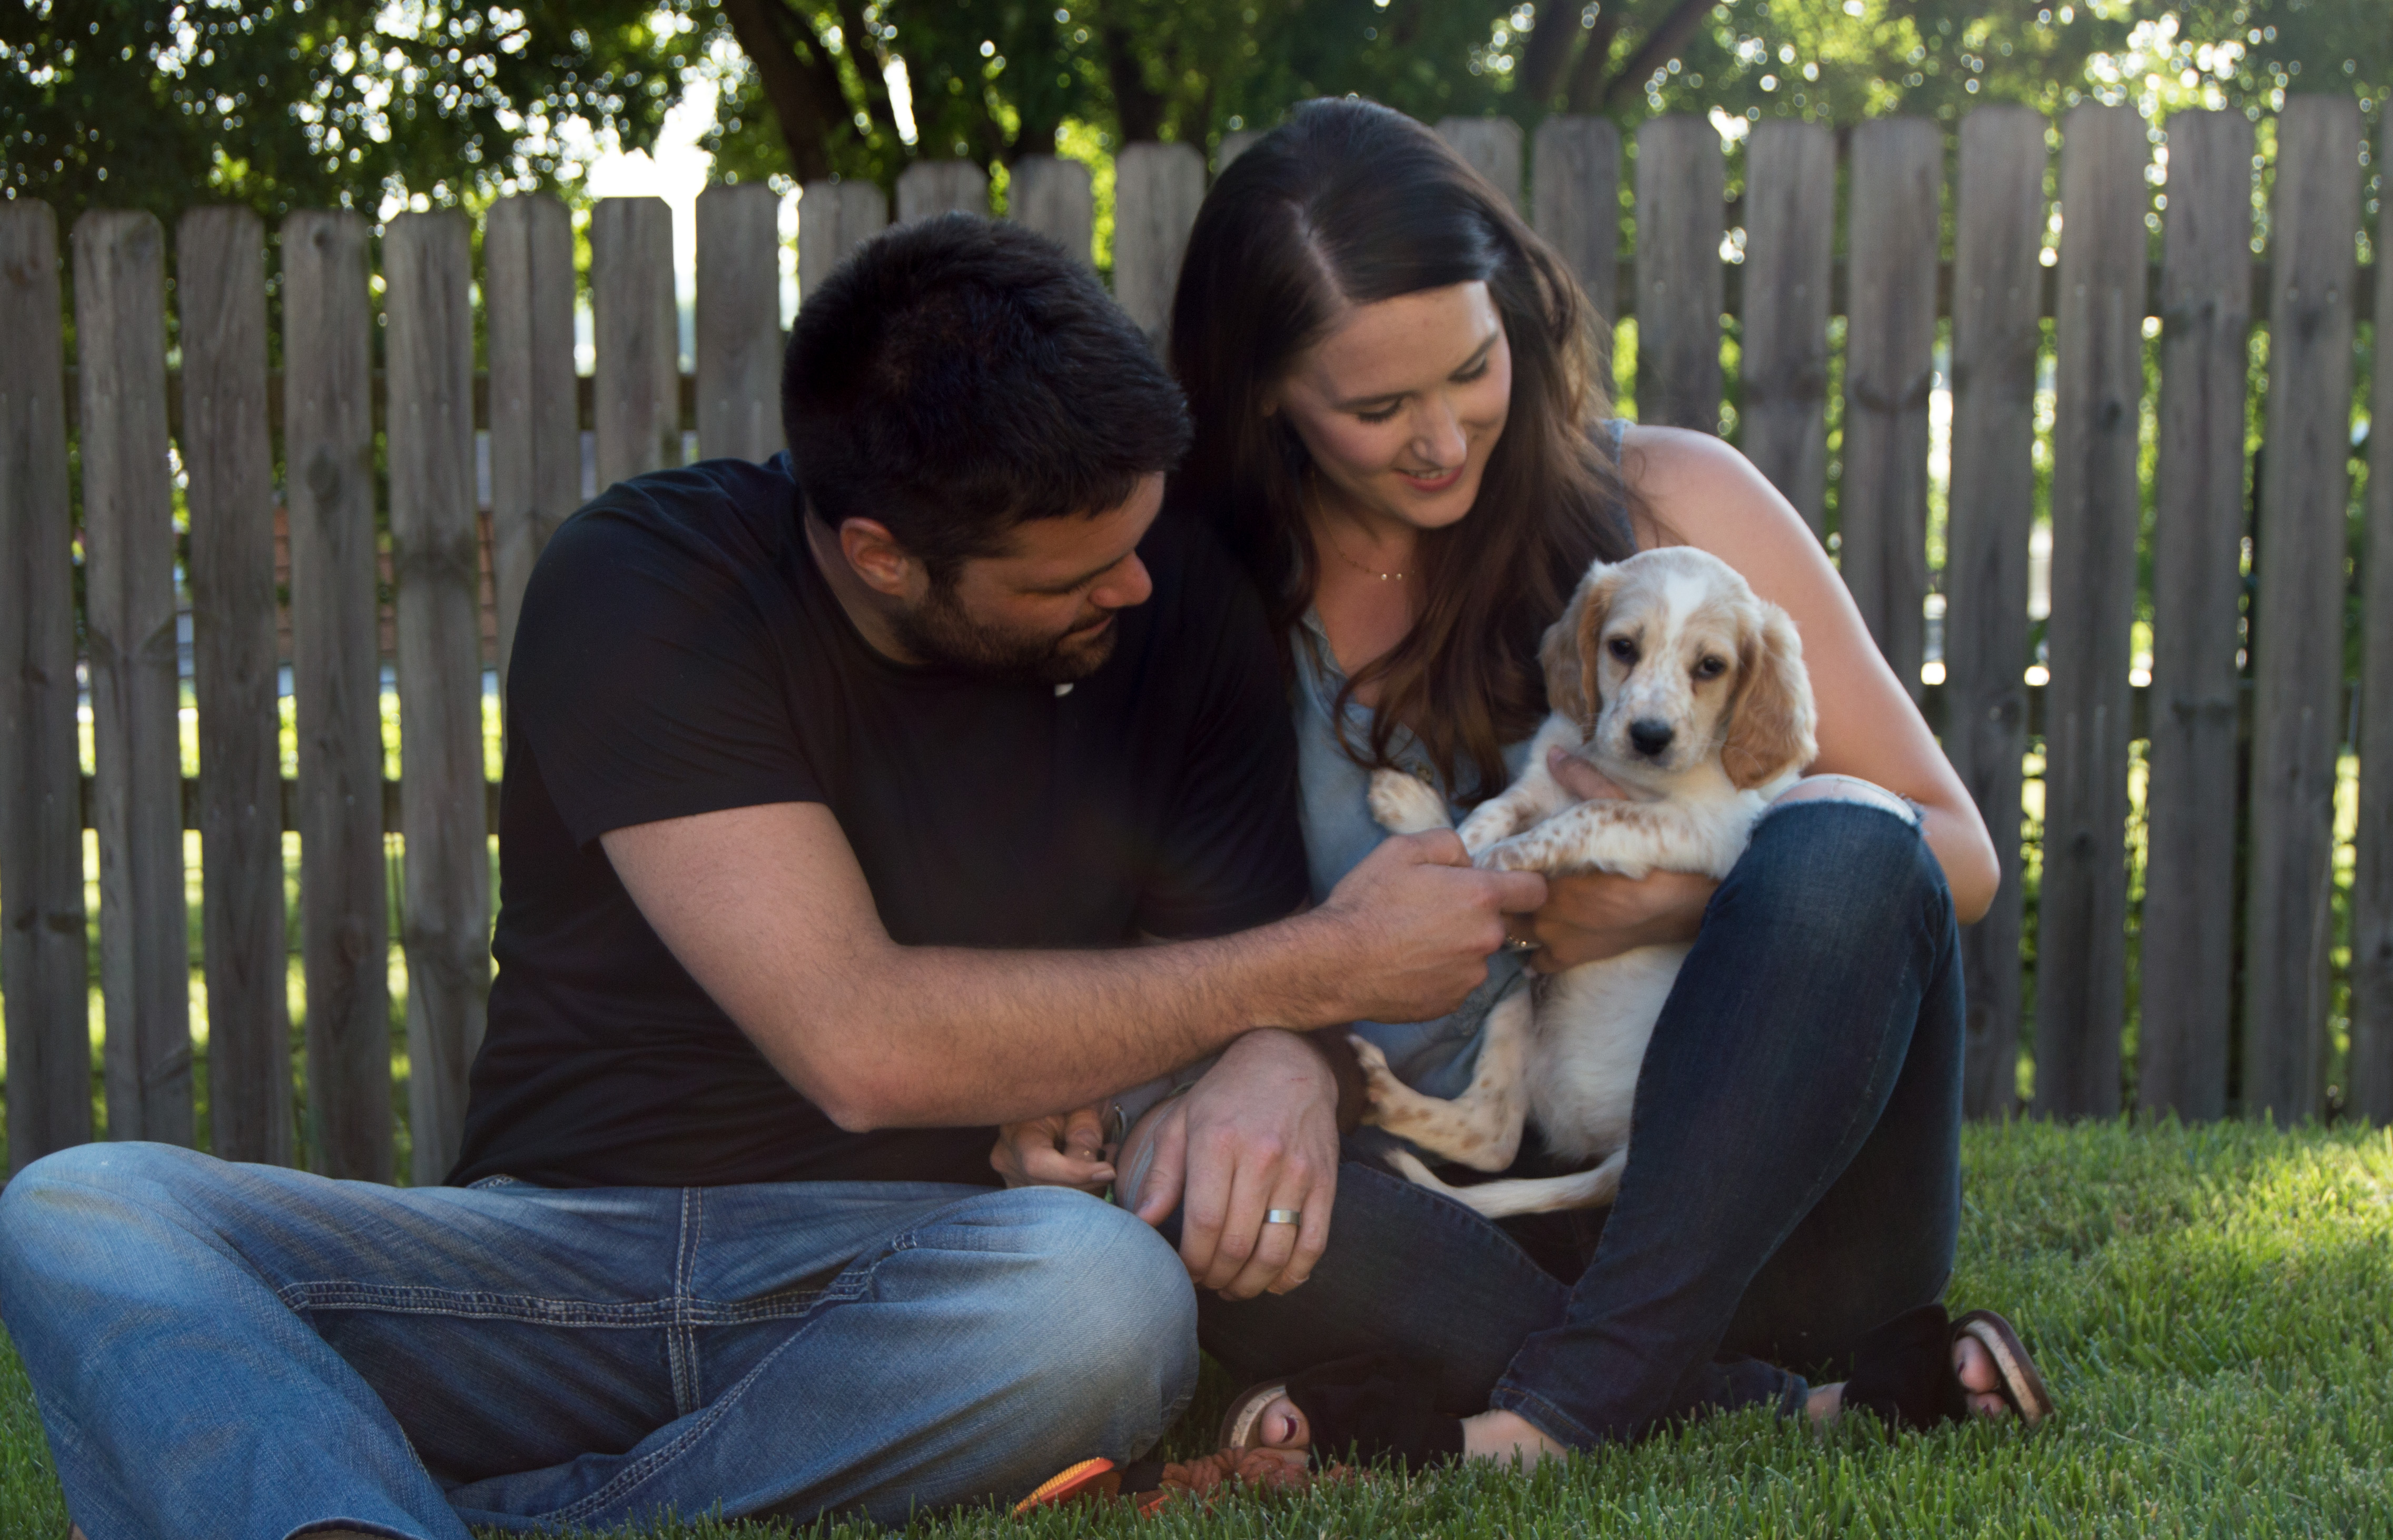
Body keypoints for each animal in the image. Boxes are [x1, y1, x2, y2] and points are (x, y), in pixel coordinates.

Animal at [1359, 548, 1818, 1219]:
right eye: (1622, 647)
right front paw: (1451, 849)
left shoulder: (1709, 830)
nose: (1649, 736)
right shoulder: (1545, 776)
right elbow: (1491, 813)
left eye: (1710, 667)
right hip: (1518, 1000)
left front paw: (1494, 864)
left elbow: (1590, 815)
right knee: (1492, 1135)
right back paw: (1379, 1094)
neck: (1621, 767)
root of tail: (1619, 1157)